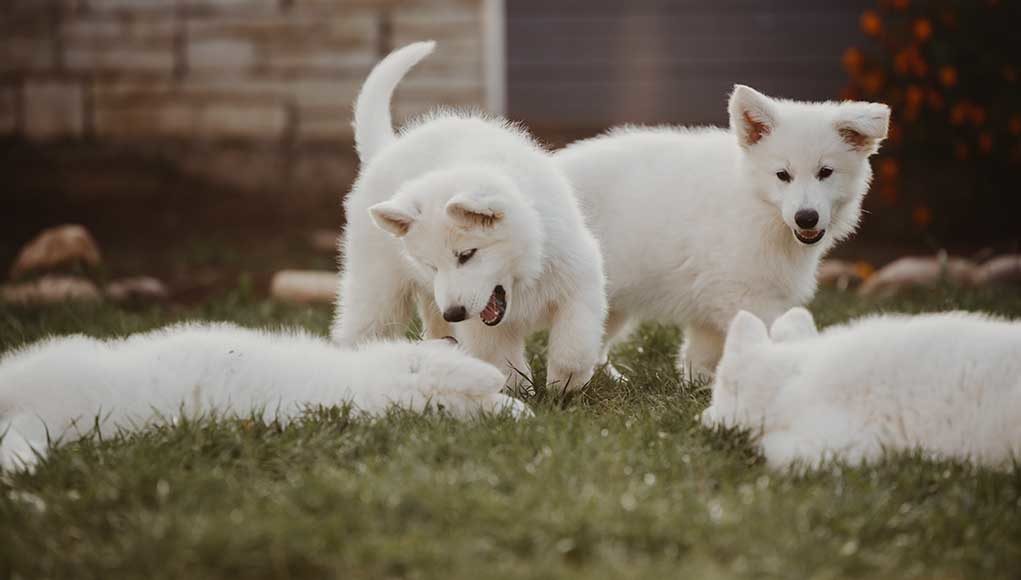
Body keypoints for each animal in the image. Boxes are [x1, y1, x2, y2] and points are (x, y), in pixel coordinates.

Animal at [332, 41, 604, 390]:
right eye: (431, 265)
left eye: (466, 255)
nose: (455, 313)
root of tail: (387, 149)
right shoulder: (481, 326)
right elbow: (501, 358)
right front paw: (517, 391)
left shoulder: (580, 277)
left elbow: (575, 339)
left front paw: (565, 384)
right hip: (379, 289)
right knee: (364, 327)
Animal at [555, 84, 890, 375]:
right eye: (782, 175)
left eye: (826, 172)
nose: (805, 218)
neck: (756, 206)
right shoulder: (745, 294)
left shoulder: (713, 300)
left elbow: (702, 353)